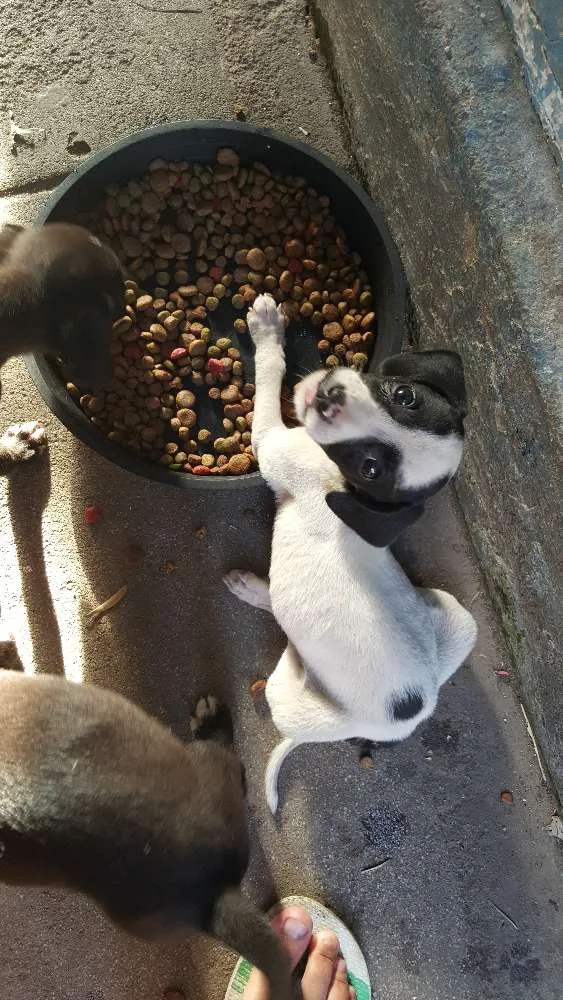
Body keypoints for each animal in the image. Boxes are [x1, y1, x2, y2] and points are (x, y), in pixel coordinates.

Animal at [224, 294, 476, 812]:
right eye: (403, 395)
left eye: (371, 467)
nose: (329, 397)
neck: (337, 479)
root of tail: (409, 712)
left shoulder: (272, 444)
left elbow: (268, 383)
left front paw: (266, 331)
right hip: (463, 622)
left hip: (287, 701)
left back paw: (262, 599)